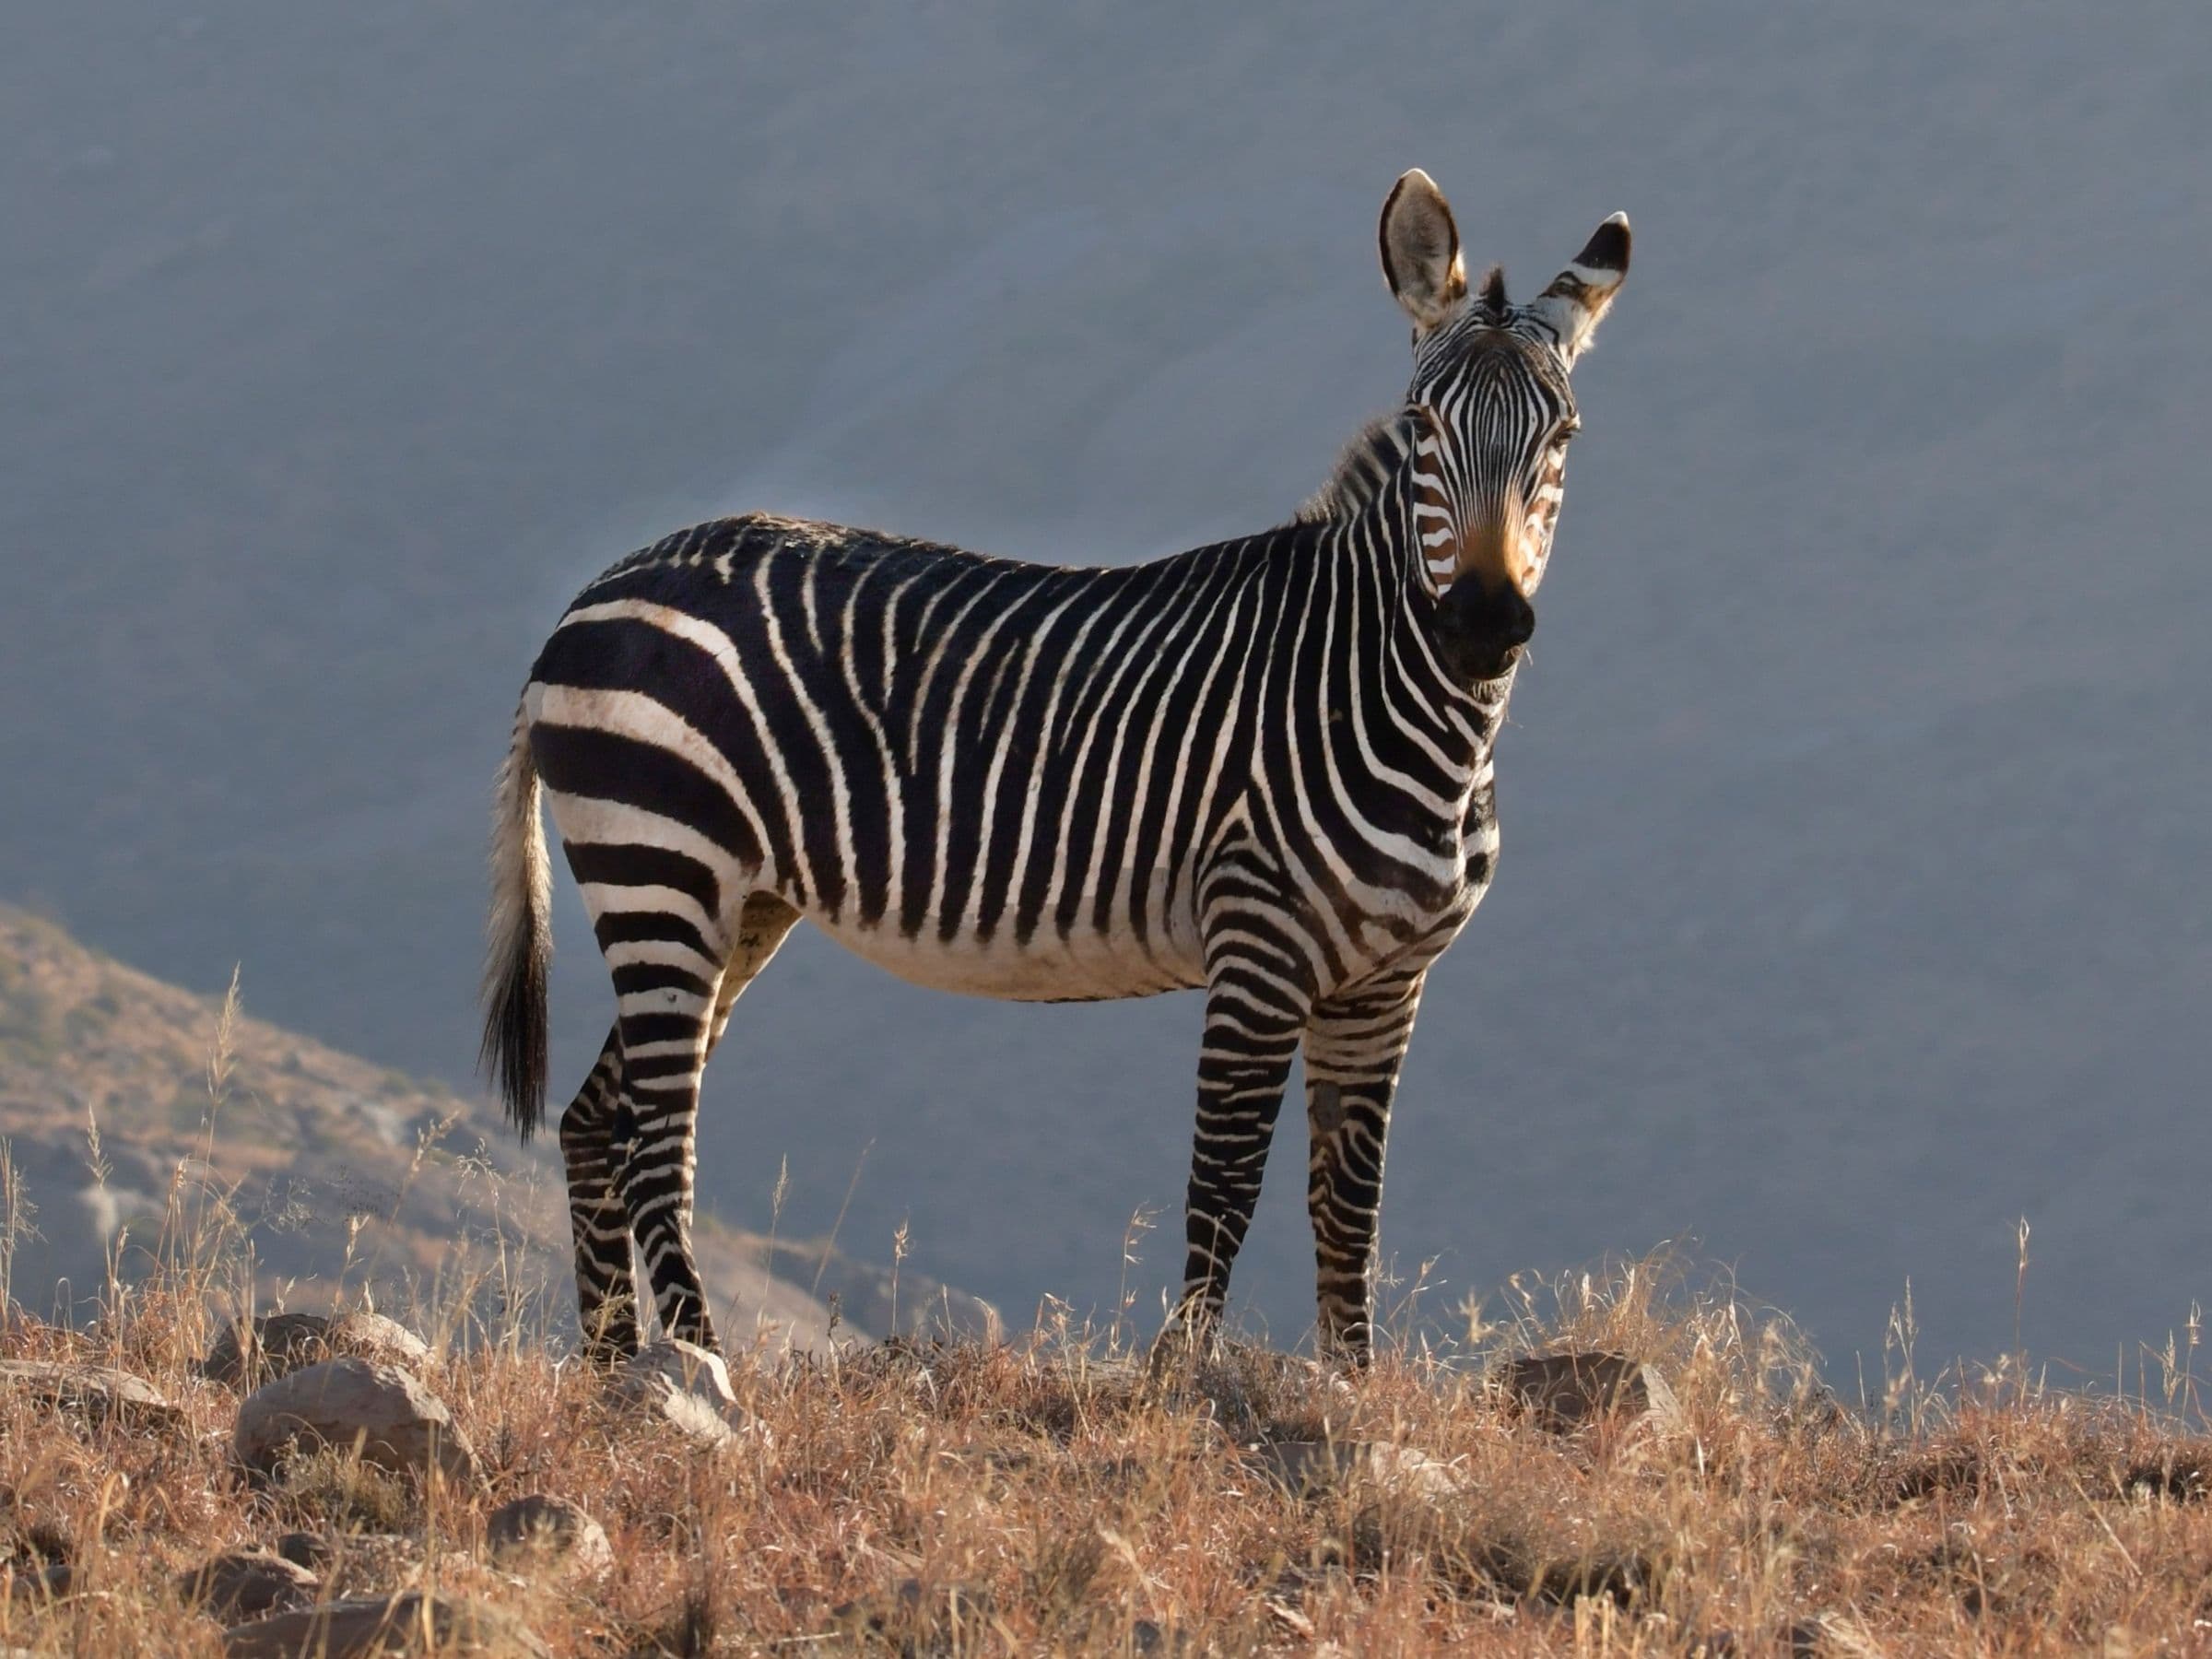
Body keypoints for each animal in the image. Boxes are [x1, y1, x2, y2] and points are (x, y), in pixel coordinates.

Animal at [481, 169, 1629, 1367]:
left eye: (1565, 434)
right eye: (1422, 426)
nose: (1483, 625)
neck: (1391, 701)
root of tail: (592, 593)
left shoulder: (1387, 984)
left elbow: (1348, 1204)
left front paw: (1350, 1386)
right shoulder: (1257, 950)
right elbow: (1226, 1184)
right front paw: (1186, 1378)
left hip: (733, 903)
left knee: (596, 1119)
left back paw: (622, 1374)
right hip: (660, 866)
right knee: (656, 1136)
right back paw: (703, 1368)